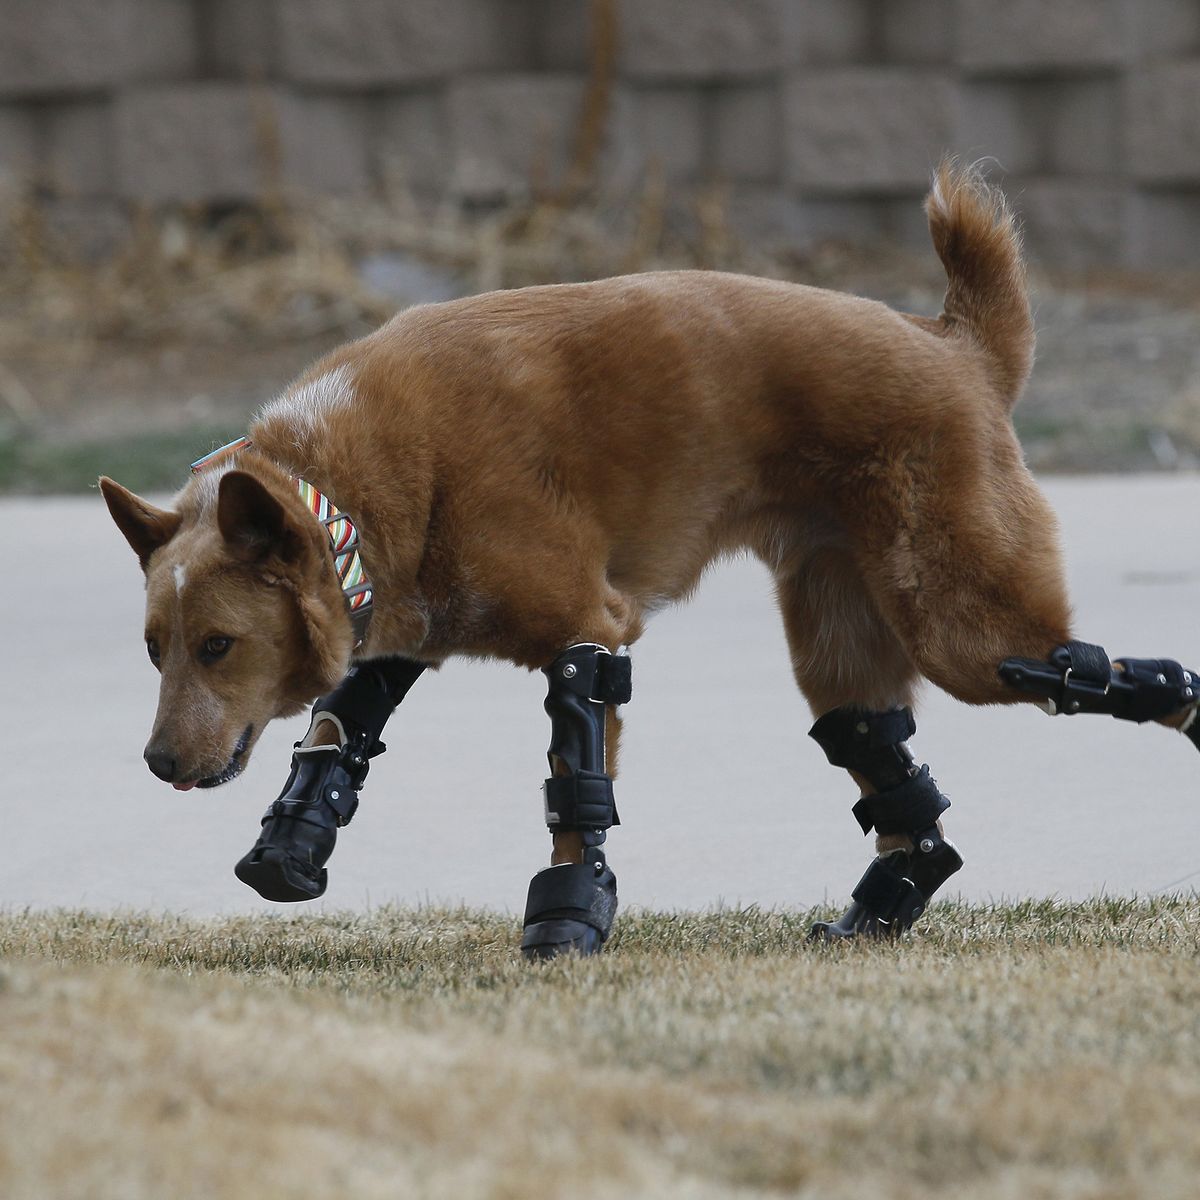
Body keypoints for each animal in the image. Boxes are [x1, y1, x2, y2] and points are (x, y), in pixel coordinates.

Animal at [103, 166, 1200, 955]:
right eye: (152, 648)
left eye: (216, 646)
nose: (156, 765)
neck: (360, 479)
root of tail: (959, 346)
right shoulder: (402, 629)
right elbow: (341, 728)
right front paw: (292, 839)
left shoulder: (585, 628)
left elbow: (575, 788)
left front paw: (568, 915)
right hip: (842, 641)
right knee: (894, 778)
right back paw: (875, 913)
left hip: (962, 630)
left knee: (1092, 672)